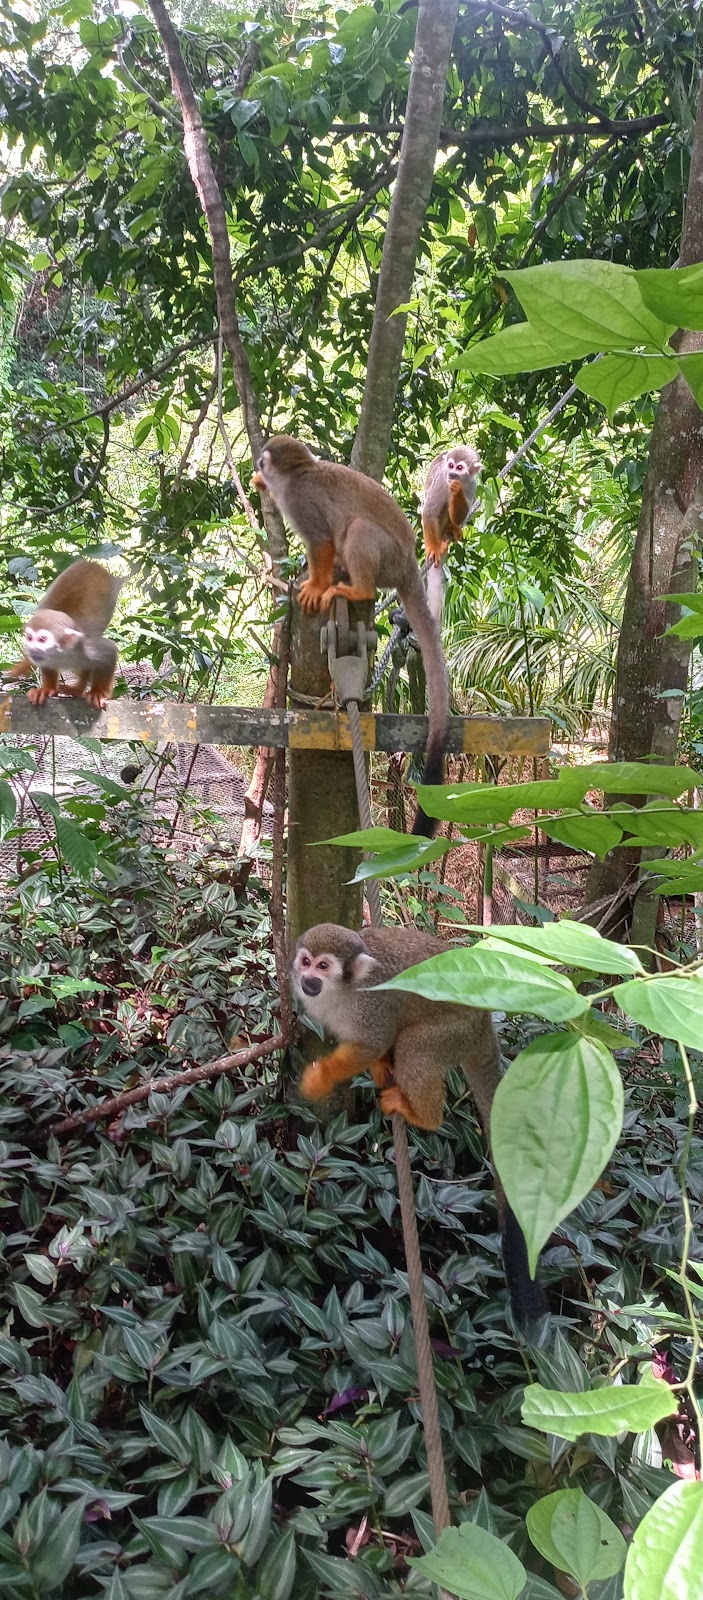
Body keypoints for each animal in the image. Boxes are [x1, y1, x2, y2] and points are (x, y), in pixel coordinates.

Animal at [5, 559, 122, 709]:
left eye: (42, 639)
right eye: (30, 638)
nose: (31, 649)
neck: (61, 653)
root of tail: (90, 562)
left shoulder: (87, 648)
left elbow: (110, 650)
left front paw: (98, 692)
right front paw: (46, 689)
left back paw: (78, 689)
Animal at [252, 436, 448, 838]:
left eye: (263, 463)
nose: (256, 472)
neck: (299, 474)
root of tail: (408, 563)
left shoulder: (300, 500)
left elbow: (322, 541)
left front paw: (314, 585)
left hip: (388, 558)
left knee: (357, 530)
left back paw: (356, 588)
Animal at [291, 922, 548, 1330]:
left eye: (324, 966)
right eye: (305, 961)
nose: (307, 979)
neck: (343, 991)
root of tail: (483, 1026)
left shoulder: (371, 1007)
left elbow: (372, 1041)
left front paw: (321, 1079)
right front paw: (379, 1065)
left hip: (455, 1032)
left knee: (417, 1043)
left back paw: (423, 1116)